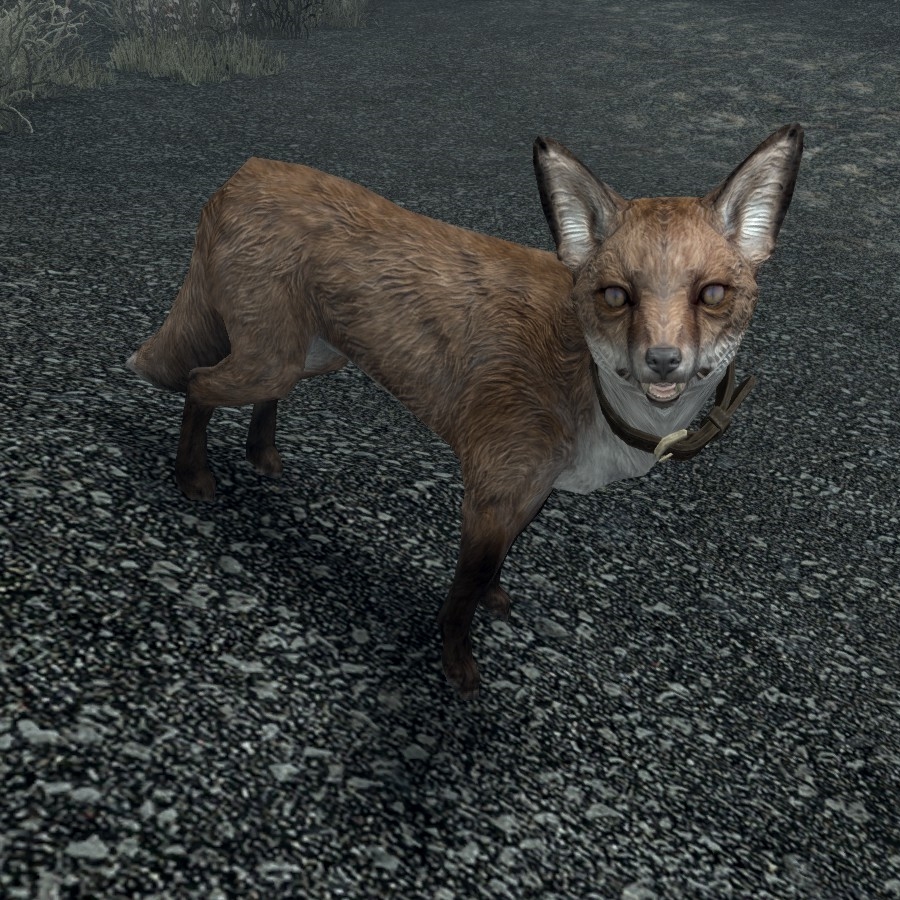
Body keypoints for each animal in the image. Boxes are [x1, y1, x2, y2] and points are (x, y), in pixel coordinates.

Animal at [127, 124, 804, 697]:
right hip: (271, 358)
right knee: (198, 384)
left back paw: (263, 455)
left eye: (711, 294)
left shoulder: (529, 489)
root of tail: (248, 171)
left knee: (260, 395)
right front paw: (457, 666)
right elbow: (462, 590)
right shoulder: (491, 487)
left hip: (308, 357)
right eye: (616, 296)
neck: (586, 390)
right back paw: (193, 477)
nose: (663, 361)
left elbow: (493, 568)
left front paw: (496, 600)